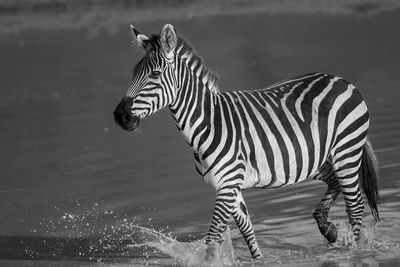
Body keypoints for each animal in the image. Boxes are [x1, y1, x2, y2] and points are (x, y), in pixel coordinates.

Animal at [114, 24, 380, 260]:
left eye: (155, 74)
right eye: (133, 74)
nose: (120, 116)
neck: (207, 123)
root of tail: (341, 79)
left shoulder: (227, 184)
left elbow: (212, 240)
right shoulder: (229, 185)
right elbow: (247, 230)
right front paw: (258, 259)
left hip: (346, 152)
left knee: (355, 206)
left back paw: (357, 251)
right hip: (314, 160)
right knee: (335, 185)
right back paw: (329, 230)